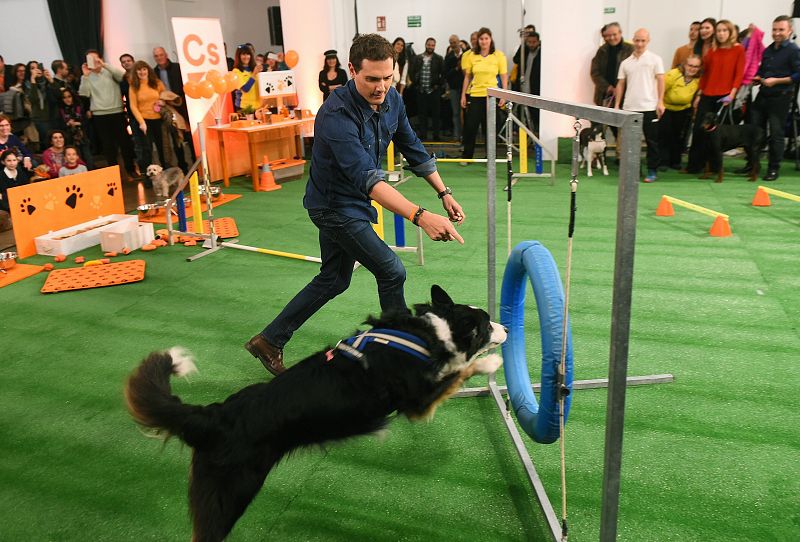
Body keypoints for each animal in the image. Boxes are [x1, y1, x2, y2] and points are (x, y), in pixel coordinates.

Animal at [123, 286, 506, 540]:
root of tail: (213, 416)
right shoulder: (417, 399)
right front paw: (489, 363)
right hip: (229, 493)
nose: (505, 327)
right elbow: (457, 373)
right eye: (487, 325)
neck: (432, 333)